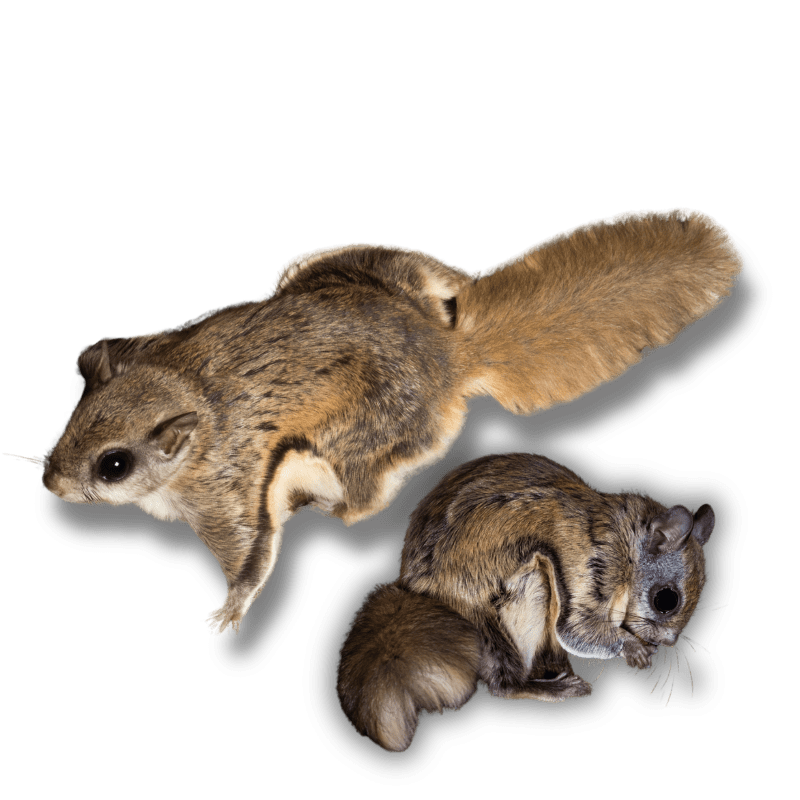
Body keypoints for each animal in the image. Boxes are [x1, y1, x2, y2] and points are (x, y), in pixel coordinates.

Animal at [40, 208, 739, 635]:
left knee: (361, 492)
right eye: (68, 427)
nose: (50, 483)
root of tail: (450, 356)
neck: (182, 391)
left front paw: (230, 611)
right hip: (337, 268)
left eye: (114, 464)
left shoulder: (227, 490)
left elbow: (252, 552)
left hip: (355, 444)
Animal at [337, 452, 716, 752]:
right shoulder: (590, 567)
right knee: (503, 684)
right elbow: (577, 628)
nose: (667, 643)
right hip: (525, 590)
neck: (625, 547)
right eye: (666, 600)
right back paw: (550, 686)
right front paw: (632, 647)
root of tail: (421, 589)